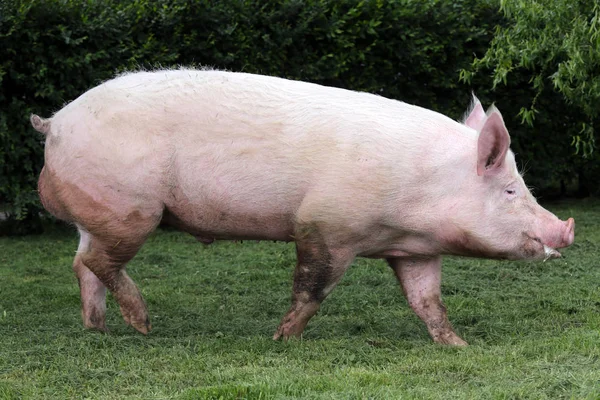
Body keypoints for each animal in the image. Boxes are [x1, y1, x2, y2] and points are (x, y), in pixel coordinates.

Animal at [30, 69, 576, 344]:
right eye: (511, 190)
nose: (565, 229)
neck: (417, 204)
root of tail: (55, 123)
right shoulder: (325, 224)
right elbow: (313, 288)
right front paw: (281, 339)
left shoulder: (415, 250)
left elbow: (428, 301)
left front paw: (459, 346)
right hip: (132, 209)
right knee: (96, 261)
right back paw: (143, 326)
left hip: (100, 212)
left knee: (81, 263)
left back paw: (98, 329)